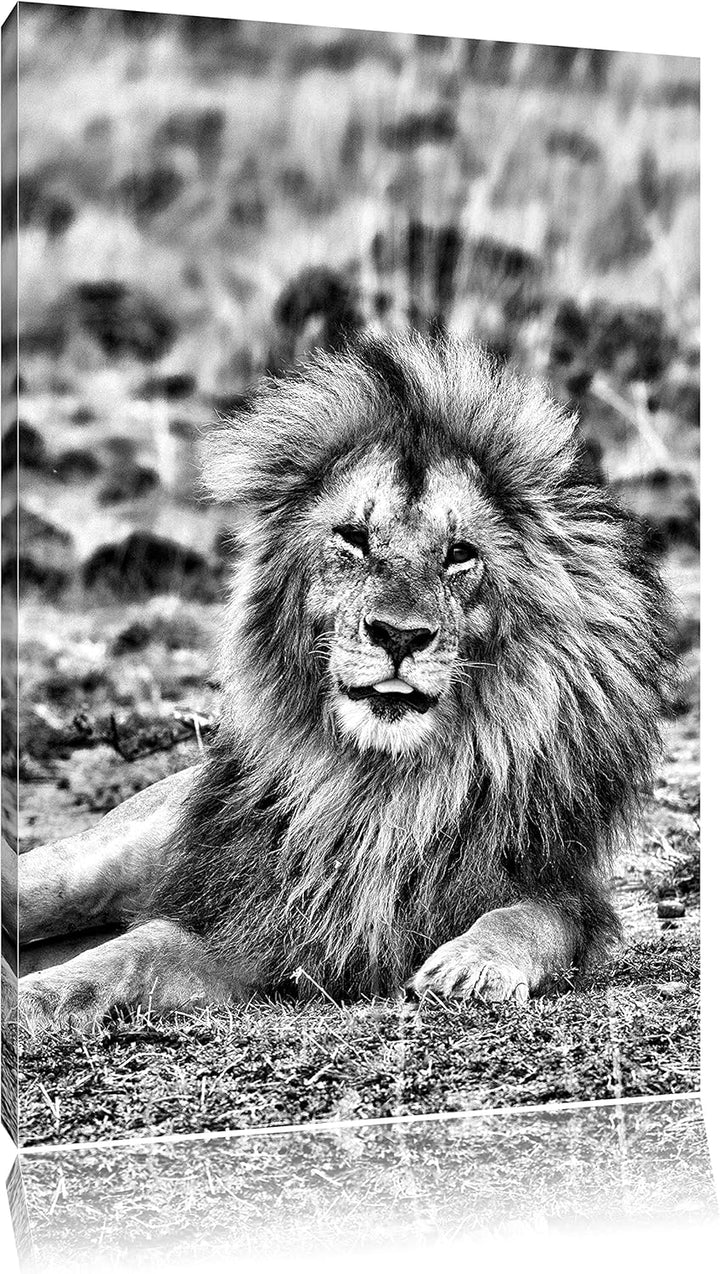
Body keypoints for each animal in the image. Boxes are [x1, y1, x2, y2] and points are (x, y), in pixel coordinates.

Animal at [17, 331, 675, 1028]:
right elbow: (125, 954)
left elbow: (531, 919)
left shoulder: (566, 885)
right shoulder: (259, 916)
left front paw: (471, 967)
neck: (385, 785)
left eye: (459, 554)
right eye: (354, 539)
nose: (399, 636)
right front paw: (32, 1000)